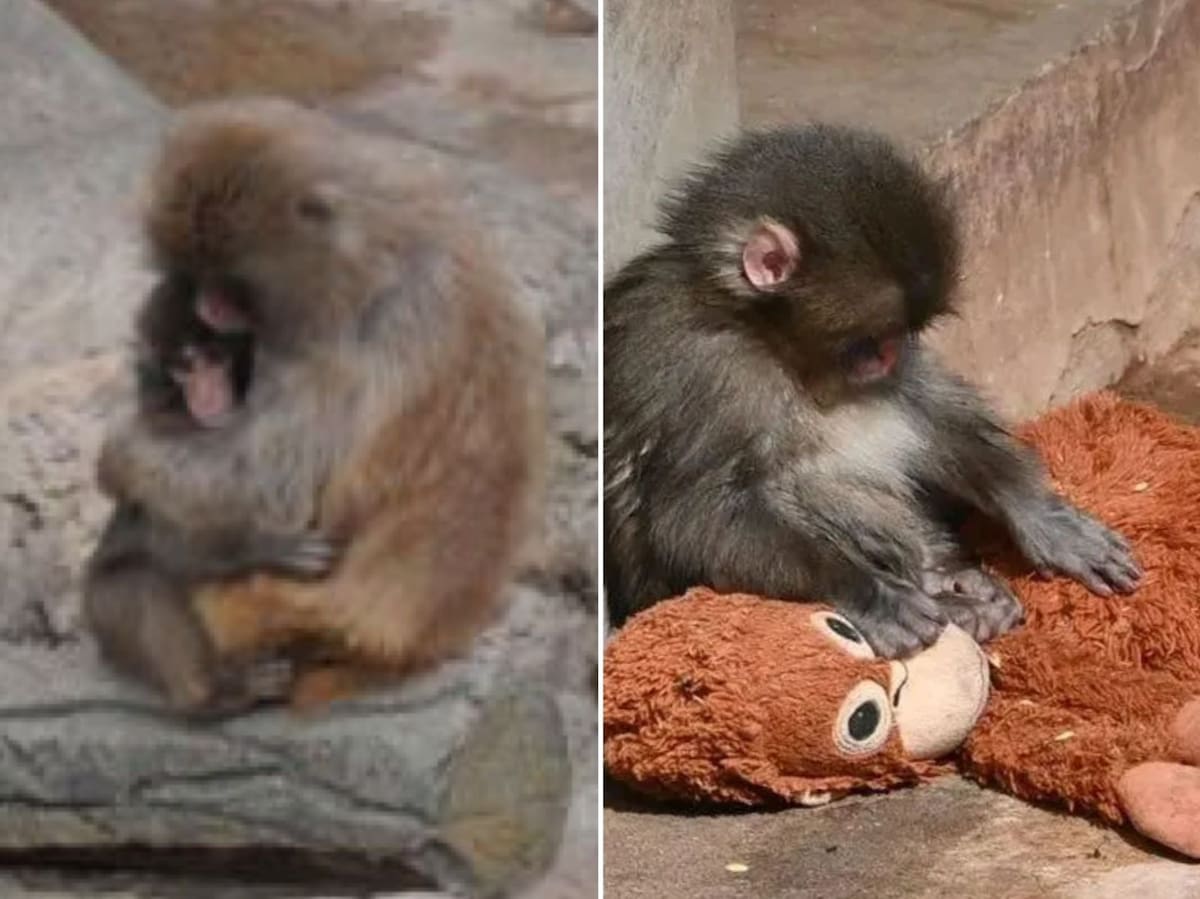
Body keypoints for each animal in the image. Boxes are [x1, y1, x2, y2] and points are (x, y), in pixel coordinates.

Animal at [89, 97, 546, 712]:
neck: (372, 248)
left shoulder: (347, 338)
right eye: (198, 275)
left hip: (248, 606)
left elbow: (273, 484)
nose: (207, 306)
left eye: (229, 284)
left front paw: (120, 453)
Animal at [603, 124, 1141, 658]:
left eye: (901, 335)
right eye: (867, 342)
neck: (765, 338)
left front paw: (1041, 513)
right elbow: (693, 513)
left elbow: (925, 407)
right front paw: (869, 592)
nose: (890, 356)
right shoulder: (699, 365)